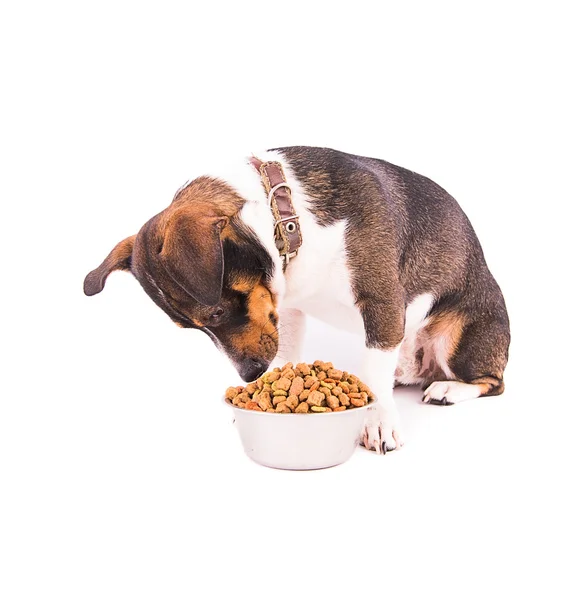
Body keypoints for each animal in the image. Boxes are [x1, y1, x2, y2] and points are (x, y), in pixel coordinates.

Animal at [83, 148, 506, 452]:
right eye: (193, 327)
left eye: (217, 312)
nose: (250, 375)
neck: (287, 219)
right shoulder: (285, 309)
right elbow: (289, 354)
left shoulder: (383, 303)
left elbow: (375, 376)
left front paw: (379, 421)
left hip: (457, 339)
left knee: (491, 382)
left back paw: (448, 389)